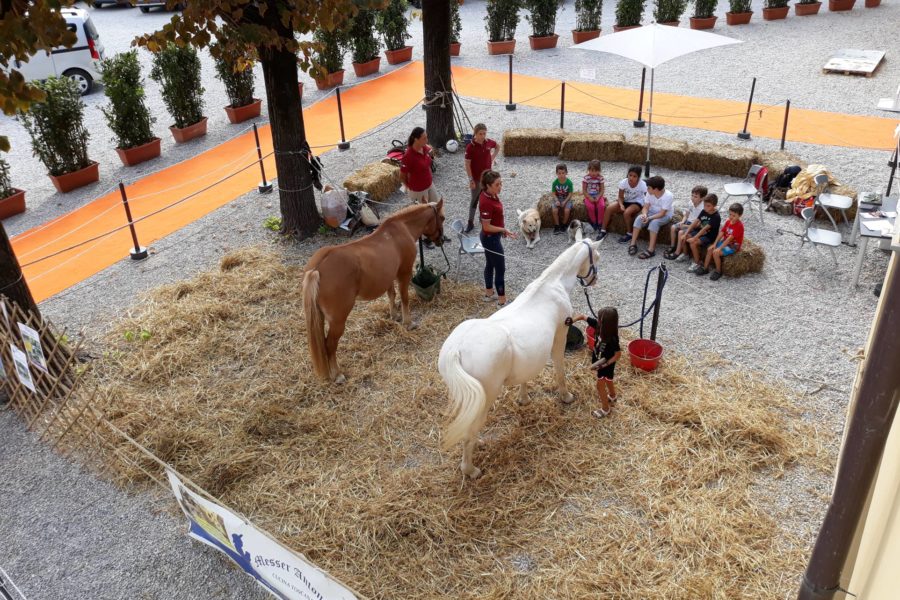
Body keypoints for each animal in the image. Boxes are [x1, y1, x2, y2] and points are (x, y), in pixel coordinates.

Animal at [302, 199, 446, 382]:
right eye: (442, 217)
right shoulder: (404, 273)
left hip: (319, 317)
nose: (442, 240)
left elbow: (391, 294)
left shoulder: (389, 275)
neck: (400, 229)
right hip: (338, 320)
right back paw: (337, 375)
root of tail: (317, 269)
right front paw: (408, 323)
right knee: (329, 345)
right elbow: (404, 297)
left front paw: (395, 316)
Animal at [440, 239, 600, 478]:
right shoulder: (560, 336)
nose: (594, 280)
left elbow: (526, 376)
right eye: (596, 257)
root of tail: (456, 350)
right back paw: (471, 470)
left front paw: (523, 399)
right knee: (470, 431)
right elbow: (560, 369)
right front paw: (566, 396)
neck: (552, 285)